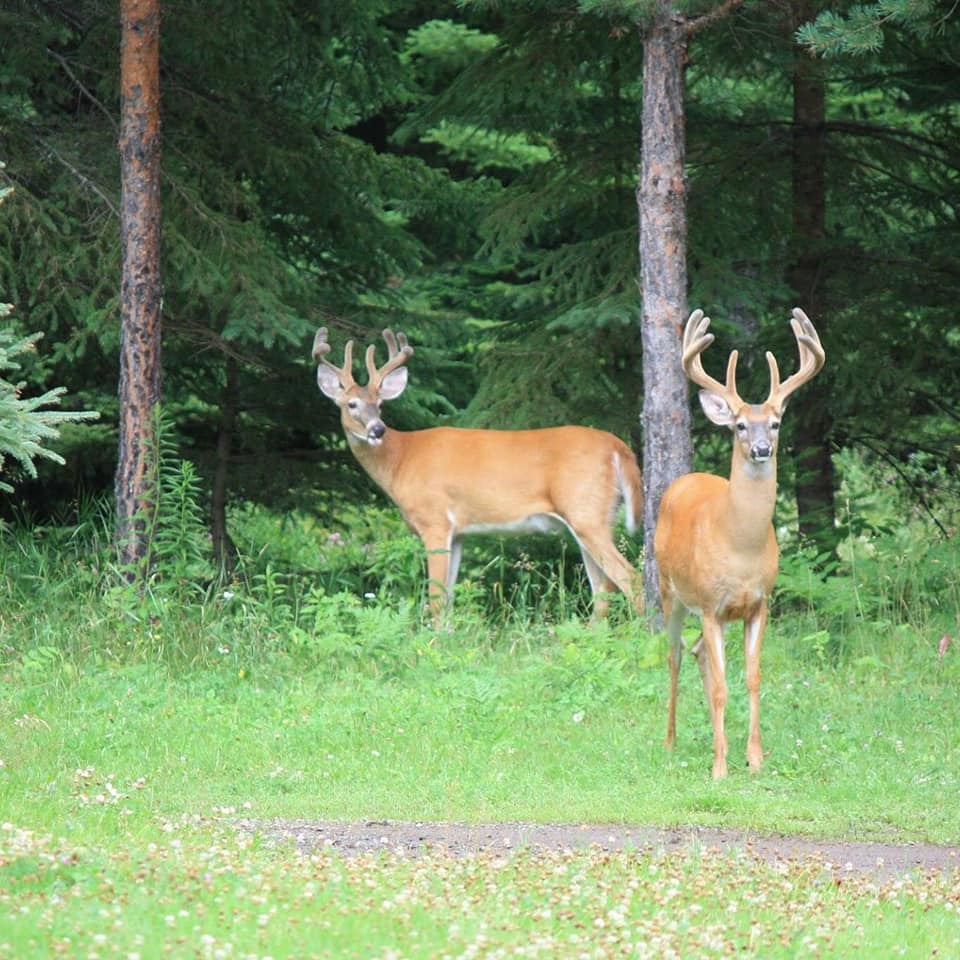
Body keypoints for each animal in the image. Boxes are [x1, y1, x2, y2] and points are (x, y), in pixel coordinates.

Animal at [316, 330, 644, 628]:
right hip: (594, 517)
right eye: (351, 404)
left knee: (630, 578)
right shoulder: (458, 533)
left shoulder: (434, 521)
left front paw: (435, 643)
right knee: (603, 588)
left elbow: (436, 598)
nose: (377, 430)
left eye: (380, 404)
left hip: (586, 510)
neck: (401, 461)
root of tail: (618, 447)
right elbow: (448, 597)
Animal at [656, 308, 828, 780]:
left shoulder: (758, 603)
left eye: (776, 422)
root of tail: (684, 480)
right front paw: (719, 768)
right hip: (669, 590)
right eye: (739, 425)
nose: (762, 448)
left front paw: (753, 758)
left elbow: (751, 679)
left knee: (698, 653)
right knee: (676, 655)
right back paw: (671, 741)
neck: (740, 546)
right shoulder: (710, 604)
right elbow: (720, 687)